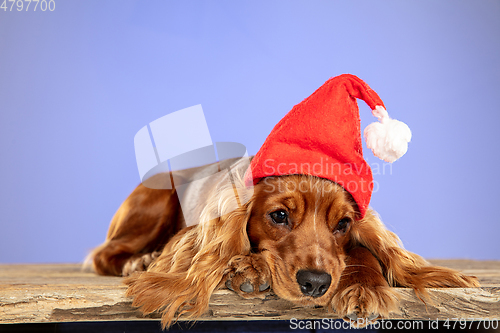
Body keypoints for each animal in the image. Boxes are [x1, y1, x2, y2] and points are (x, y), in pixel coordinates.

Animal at [89, 156, 480, 326]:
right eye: (279, 216)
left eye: (343, 223)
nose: (316, 283)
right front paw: (249, 267)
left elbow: (360, 253)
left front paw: (364, 288)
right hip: (154, 201)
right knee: (104, 254)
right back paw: (138, 260)